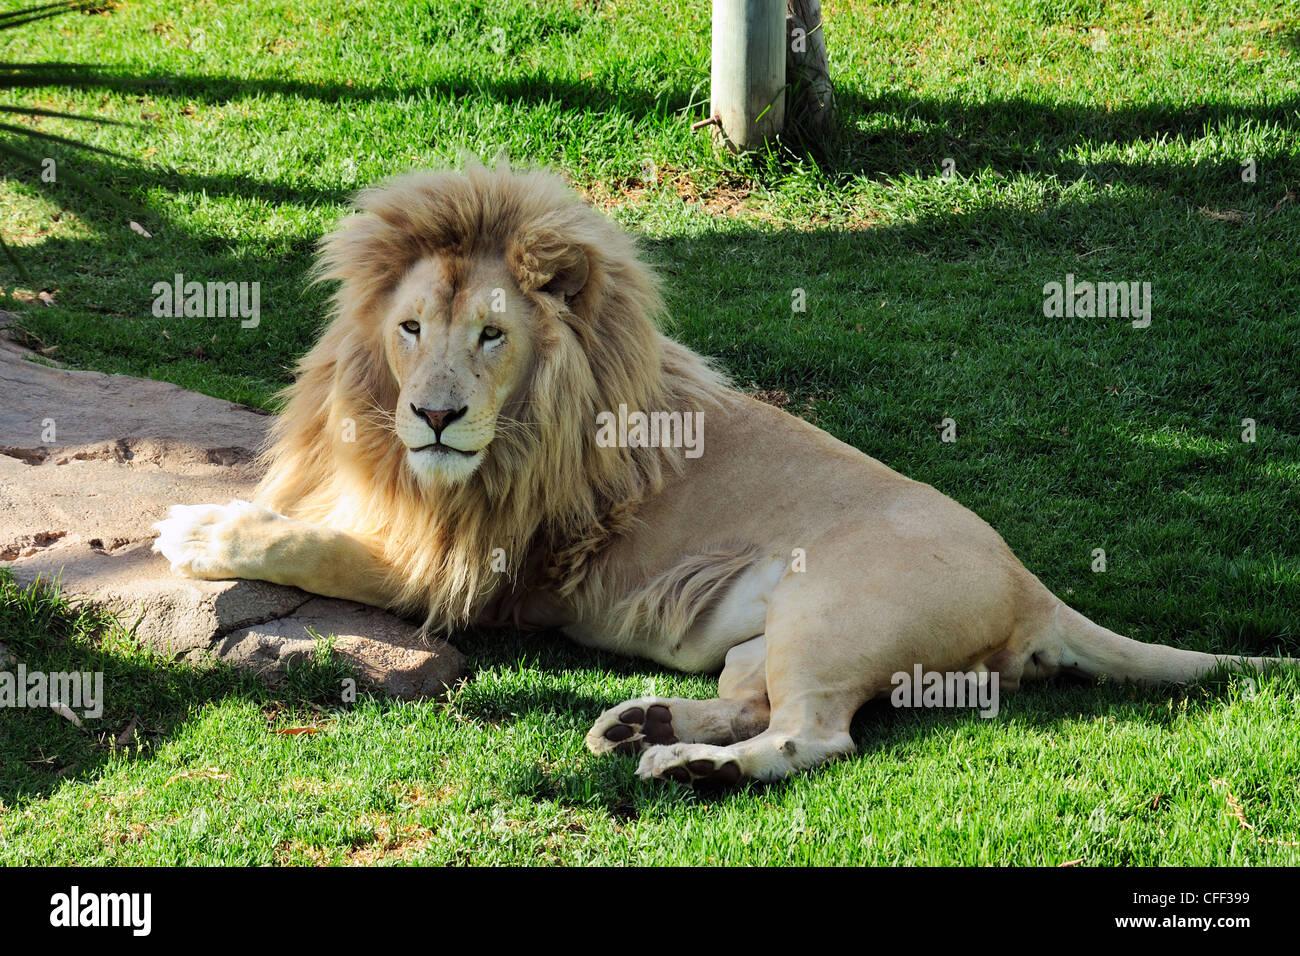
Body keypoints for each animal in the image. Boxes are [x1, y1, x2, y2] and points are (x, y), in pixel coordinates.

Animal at [153, 159, 1292, 784]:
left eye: (490, 336)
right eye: (409, 328)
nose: (434, 414)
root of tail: (1035, 587)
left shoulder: (482, 570)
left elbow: (331, 550)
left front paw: (207, 530)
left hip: (834, 606)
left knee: (813, 738)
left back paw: (686, 764)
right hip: (765, 634)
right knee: (755, 702)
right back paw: (643, 721)